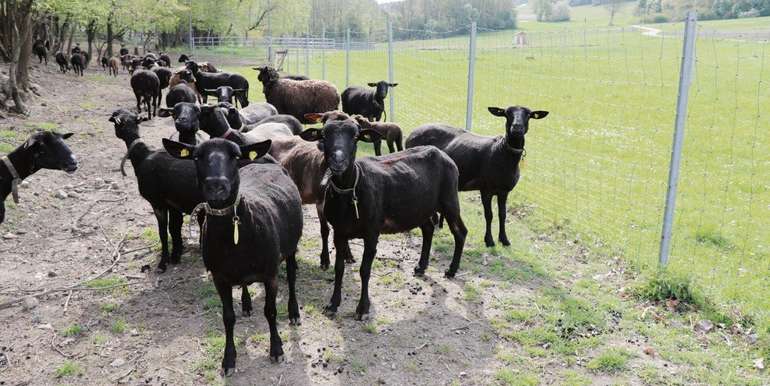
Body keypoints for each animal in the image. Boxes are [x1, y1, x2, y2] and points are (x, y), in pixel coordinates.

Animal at [163, 138, 304, 374]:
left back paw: (293, 312)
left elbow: (270, 311)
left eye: (235, 156)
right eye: (196, 156)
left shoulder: (270, 274)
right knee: (245, 284)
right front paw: (228, 359)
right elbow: (228, 317)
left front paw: (276, 349)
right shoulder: (219, 277)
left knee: (292, 277)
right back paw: (246, 305)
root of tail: (268, 163)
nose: (216, 185)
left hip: (290, 247)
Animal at [300, 118, 464, 320]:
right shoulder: (339, 231)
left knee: (460, 232)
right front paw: (333, 304)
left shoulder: (372, 232)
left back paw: (451, 270)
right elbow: (339, 268)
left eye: (355, 136)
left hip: (449, 199)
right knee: (428, 228)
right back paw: (421, 266)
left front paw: (362, 308)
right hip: (420, 207)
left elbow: (364, 271)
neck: (351, 189)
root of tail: (443, 154)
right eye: (323, 135)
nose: (338, 161)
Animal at [404, 105, 548, 247]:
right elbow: (489, 215)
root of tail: (412, 133)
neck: (502, 152)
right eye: (507, 113)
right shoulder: (486, 189)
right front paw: (489, 240)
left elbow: (502, 215)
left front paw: (504, 239)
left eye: (528, 115)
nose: (517, 128)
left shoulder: (504, 191)